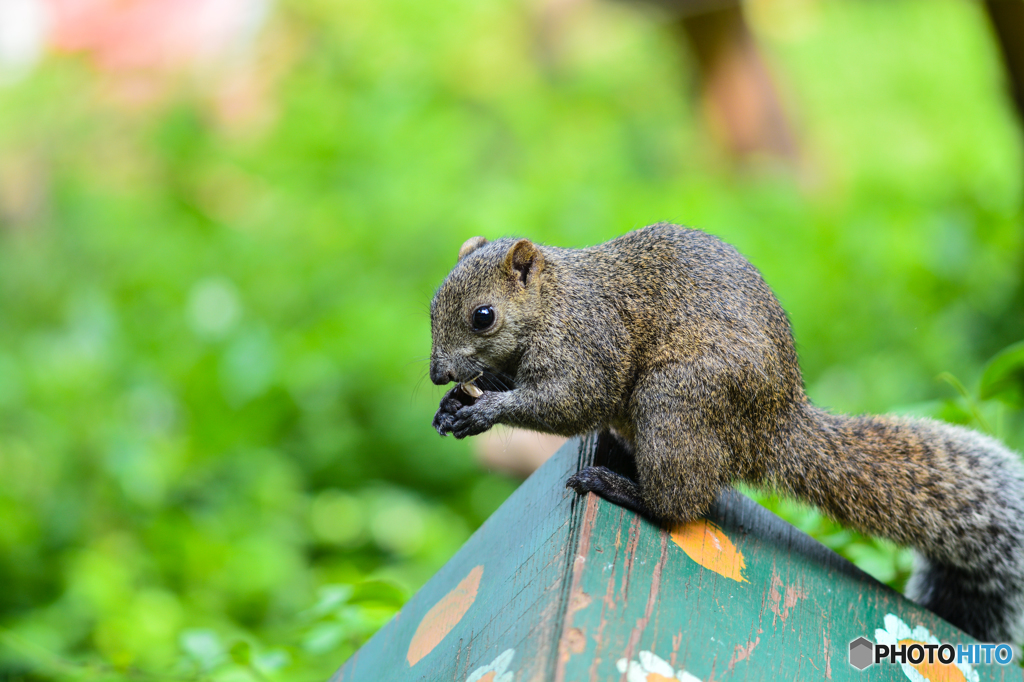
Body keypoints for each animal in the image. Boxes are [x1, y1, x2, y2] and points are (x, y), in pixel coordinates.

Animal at [428, 223, 1024, 643]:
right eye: (433, 305)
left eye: (484, 316)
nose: (436, 372)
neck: (554, 302)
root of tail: (774, 426)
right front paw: (455, 403)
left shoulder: (590, 344)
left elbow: (573, 401)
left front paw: (484, 411)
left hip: (675, 402)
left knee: (683, 503)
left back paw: (619, 487)